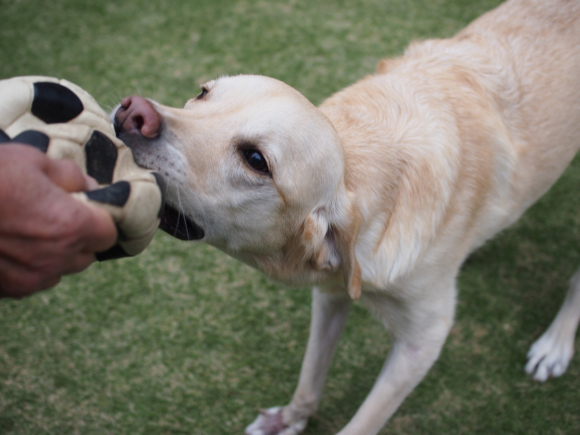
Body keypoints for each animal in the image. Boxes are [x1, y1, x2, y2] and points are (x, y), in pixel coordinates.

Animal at [113, 0, 580, 434]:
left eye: (256, 160)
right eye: (203, 92)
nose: (133, 112)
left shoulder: (423, 341)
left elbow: (363, 422)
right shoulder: (330, 293)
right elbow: (310, 377)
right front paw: (290, 418)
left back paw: (554, 345)